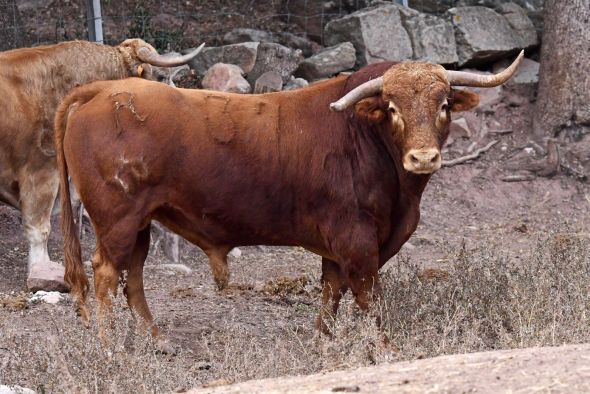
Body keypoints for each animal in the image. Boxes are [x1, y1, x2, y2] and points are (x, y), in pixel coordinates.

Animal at [54, 53, 524, 338]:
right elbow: (368, 299)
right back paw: (110, 346)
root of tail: (102, 91)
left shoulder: (339, 247)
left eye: (443, 105)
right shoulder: (356, 241)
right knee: (106, 274)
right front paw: (383, 347)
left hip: (141, 223)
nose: (424, 157)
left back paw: (155, 341)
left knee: (133, 276)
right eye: (392, 108)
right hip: (116, 221)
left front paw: (323, 341)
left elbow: (331, 294)